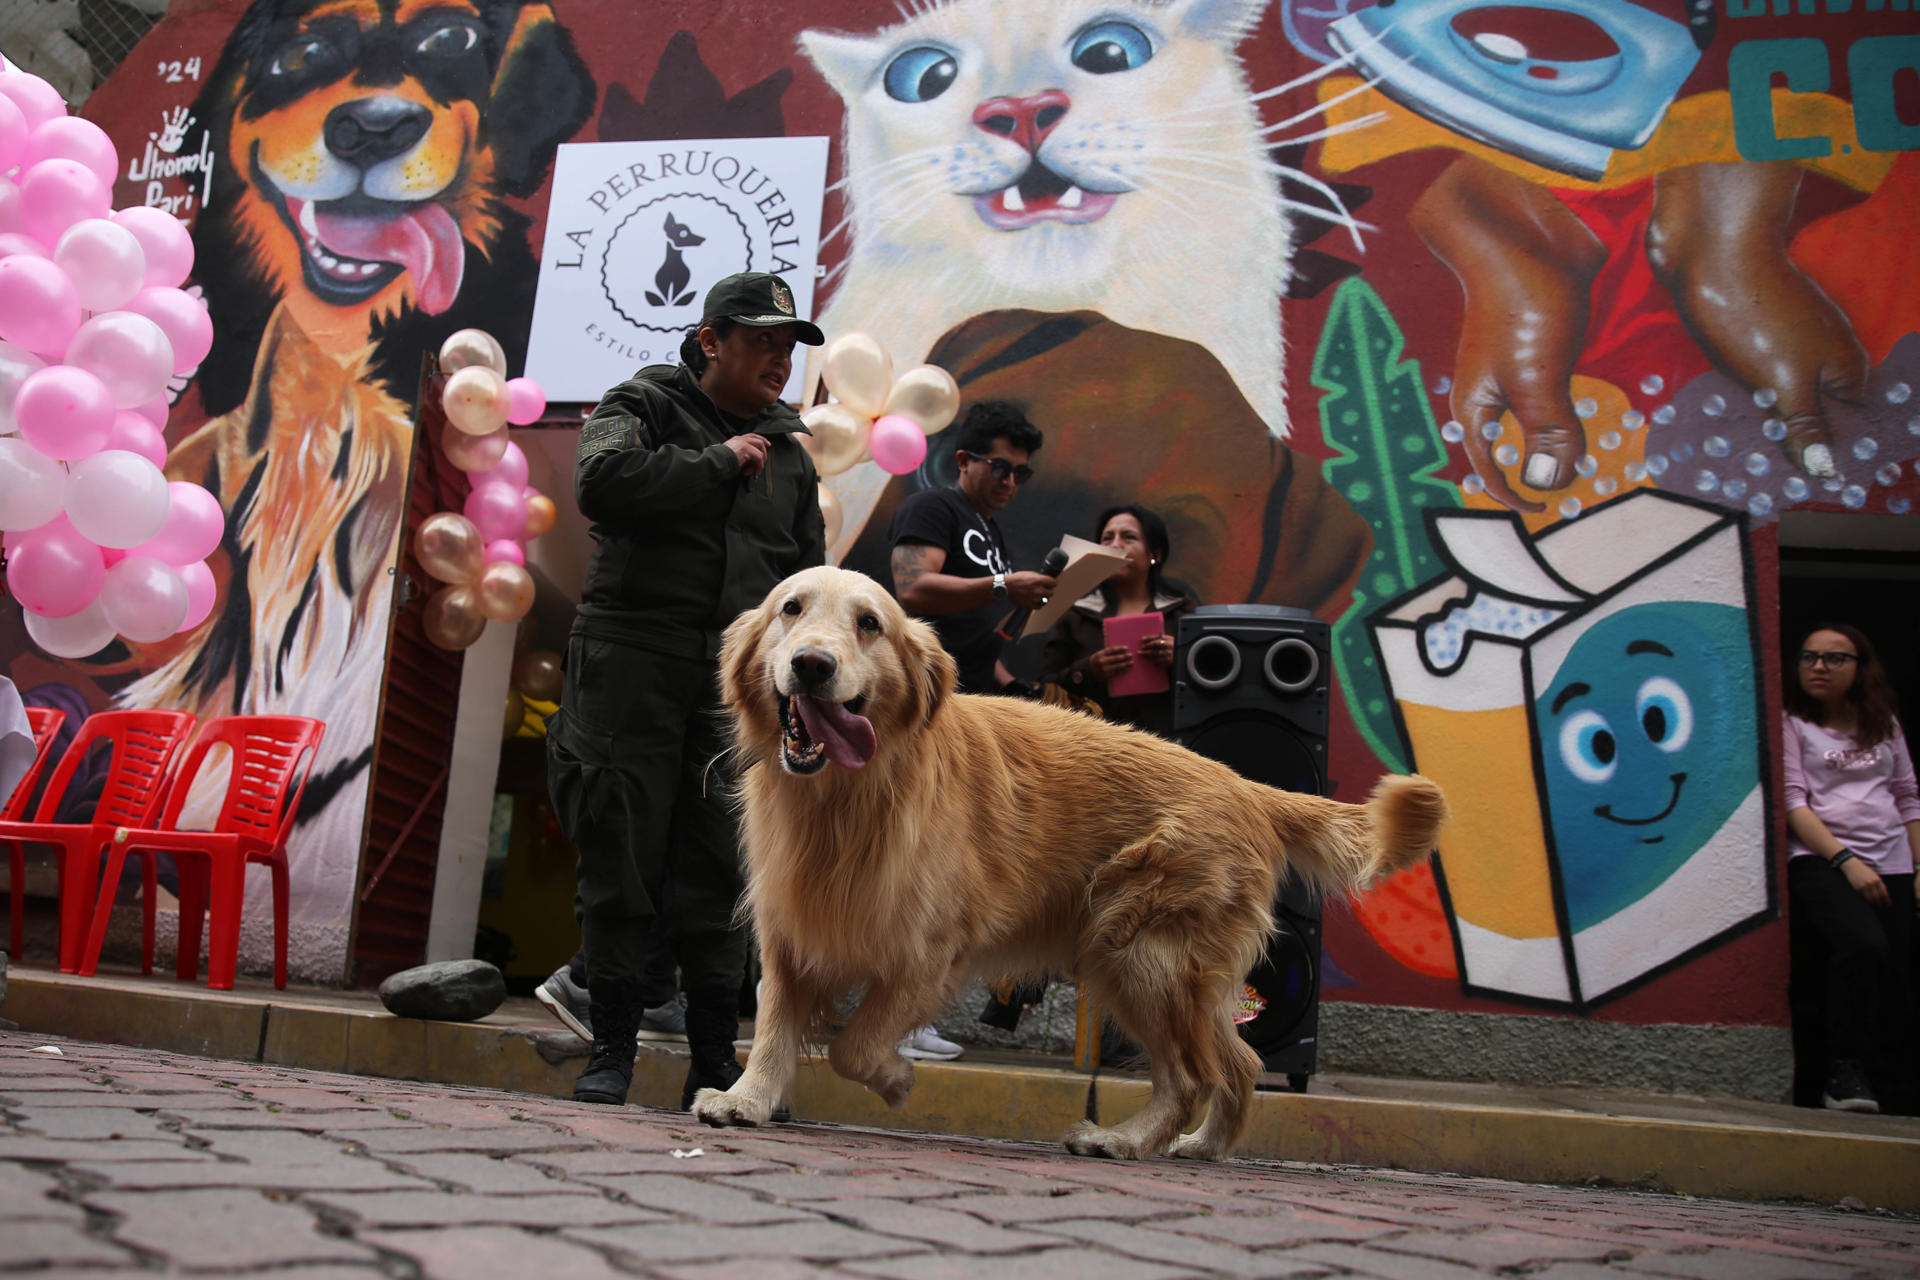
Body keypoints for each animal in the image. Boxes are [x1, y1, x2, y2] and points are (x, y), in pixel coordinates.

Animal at [698, 571, 1443, 1159]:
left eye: (870, 624)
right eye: (791, 609)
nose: (812, 665)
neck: (849, 795)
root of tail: (1248, 788)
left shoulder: (928, 951)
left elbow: (852, 1045)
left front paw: (894, 1079)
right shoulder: (789, 928)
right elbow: (774, 1027)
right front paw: (747, 1099)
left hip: (1138, 954)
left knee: (1193, 1076)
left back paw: (1124, 1140)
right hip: (1165, 970)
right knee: (1239, 1060)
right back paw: (1200, 1146)